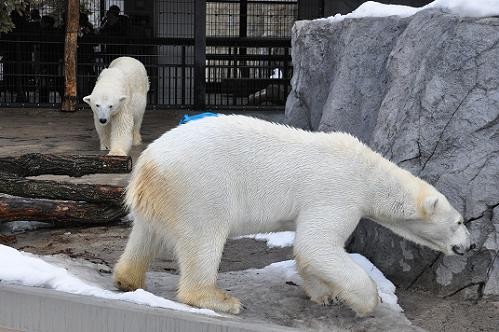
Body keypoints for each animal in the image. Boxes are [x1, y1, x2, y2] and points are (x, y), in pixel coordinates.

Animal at [111, 115, 474, 316]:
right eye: (459, 222)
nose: (469, 246)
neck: (368, 174)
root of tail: (146, 167)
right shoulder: (337, 192)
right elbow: (318, 245)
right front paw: (364, 302)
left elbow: (308, 250)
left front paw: (325, 295)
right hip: (198, 188)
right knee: (204, 239)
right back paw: (221, 300)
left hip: (163, 197)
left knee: (145, 235)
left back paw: (128, 278)